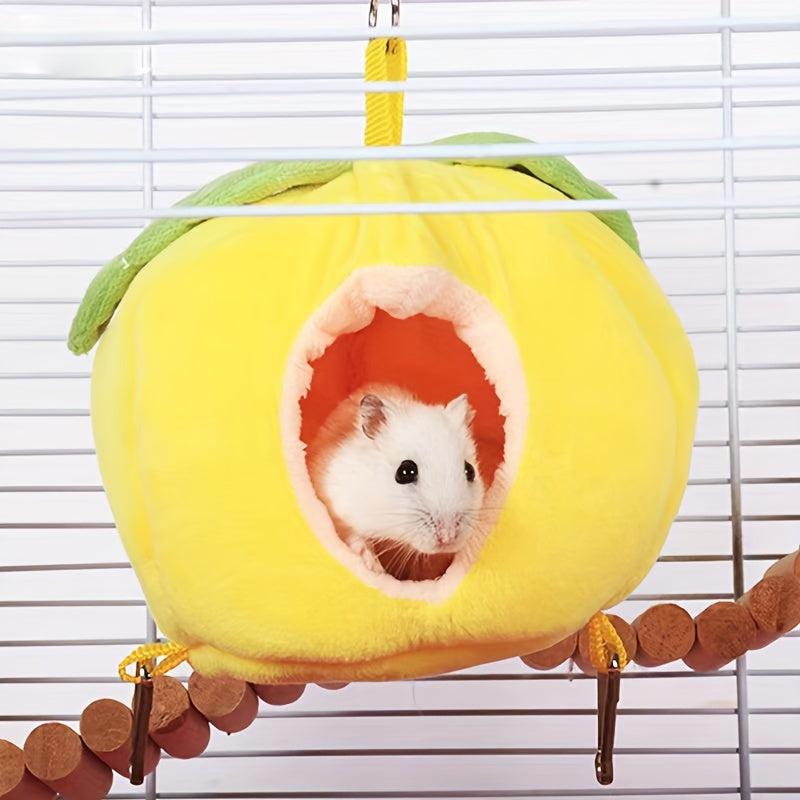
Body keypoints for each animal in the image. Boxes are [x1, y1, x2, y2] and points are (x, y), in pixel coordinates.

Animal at [306, 385, 485, 581]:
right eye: (405, 472)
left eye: (470, 471)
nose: (448, 538)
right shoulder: (338, 503)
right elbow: (355, 537)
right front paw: (375, 569)